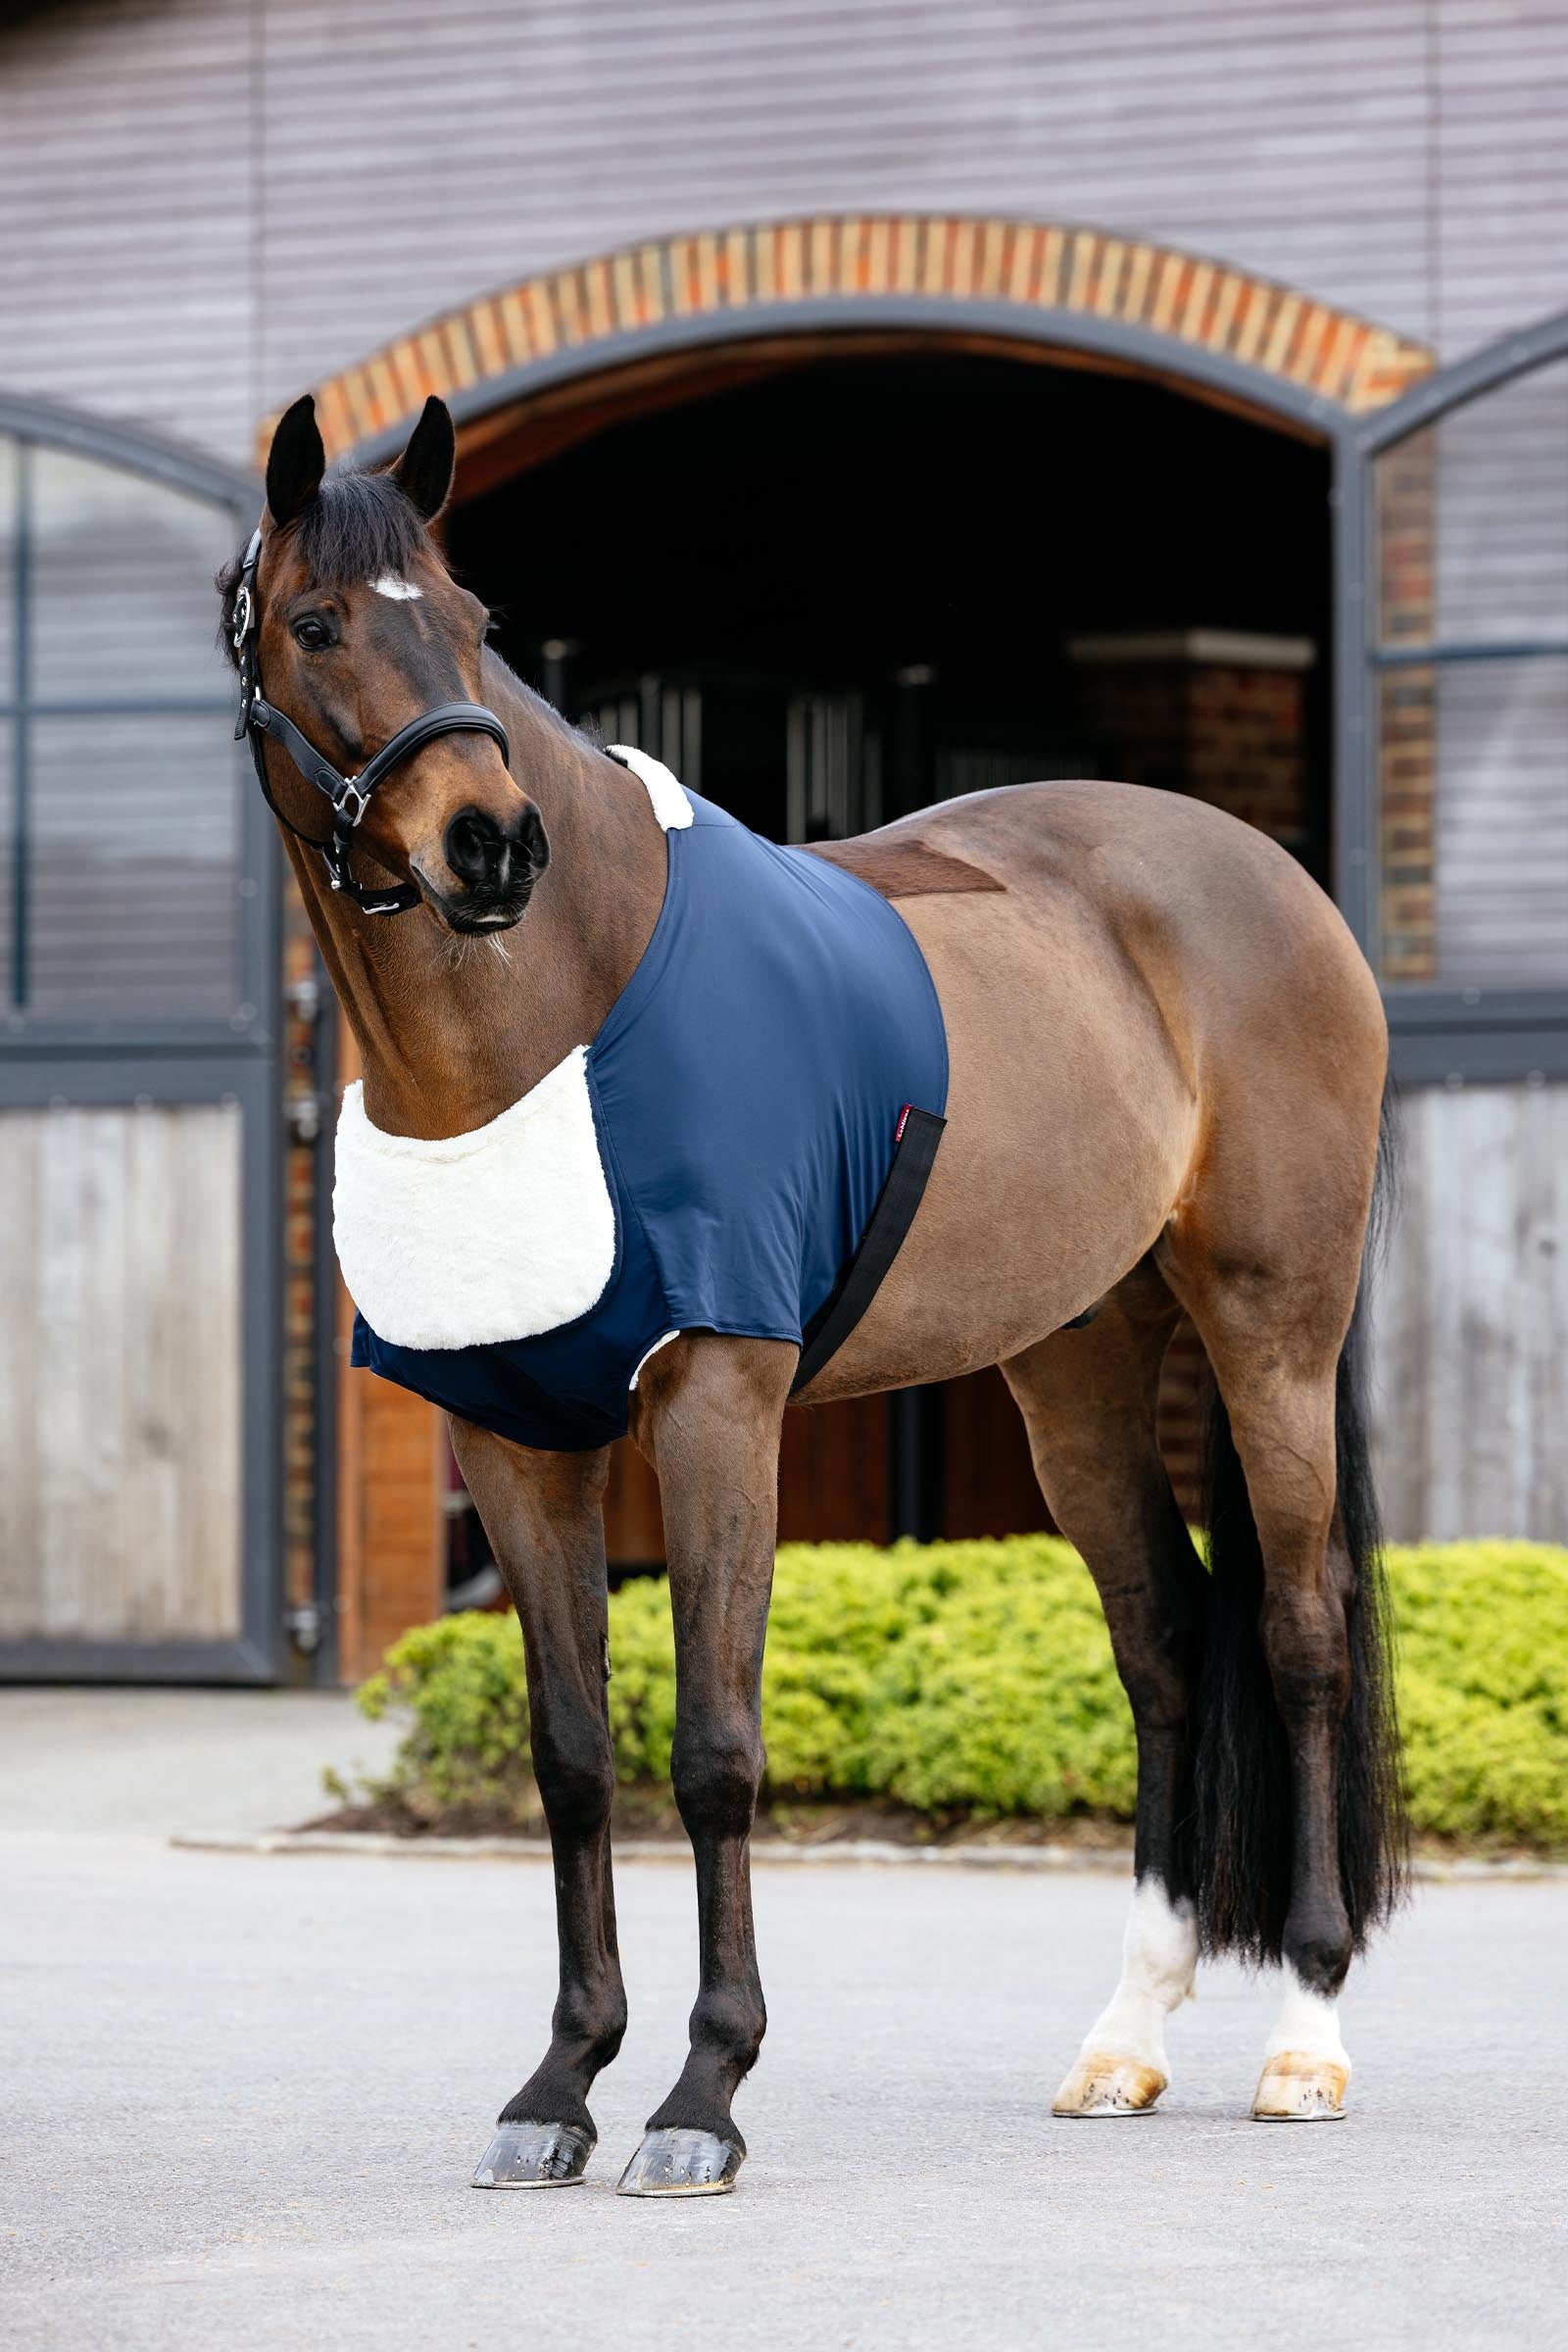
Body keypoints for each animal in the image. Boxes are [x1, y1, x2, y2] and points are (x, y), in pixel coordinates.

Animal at [221, 389, 1403, 2197]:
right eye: (319, 623)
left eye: (477, 624)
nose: (493, 846)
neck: (553, 1016)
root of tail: (1268, 881)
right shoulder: (510, 1435)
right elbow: (573, 1759)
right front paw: (559, 2085)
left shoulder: (717, 1399)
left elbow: (715, 1749)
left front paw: (701, 2098)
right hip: (1075, 1364)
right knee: (1165, 1644)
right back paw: (1123, 2039)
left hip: (1275, 1324)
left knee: (1298, 1633)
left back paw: (1309, 2038)